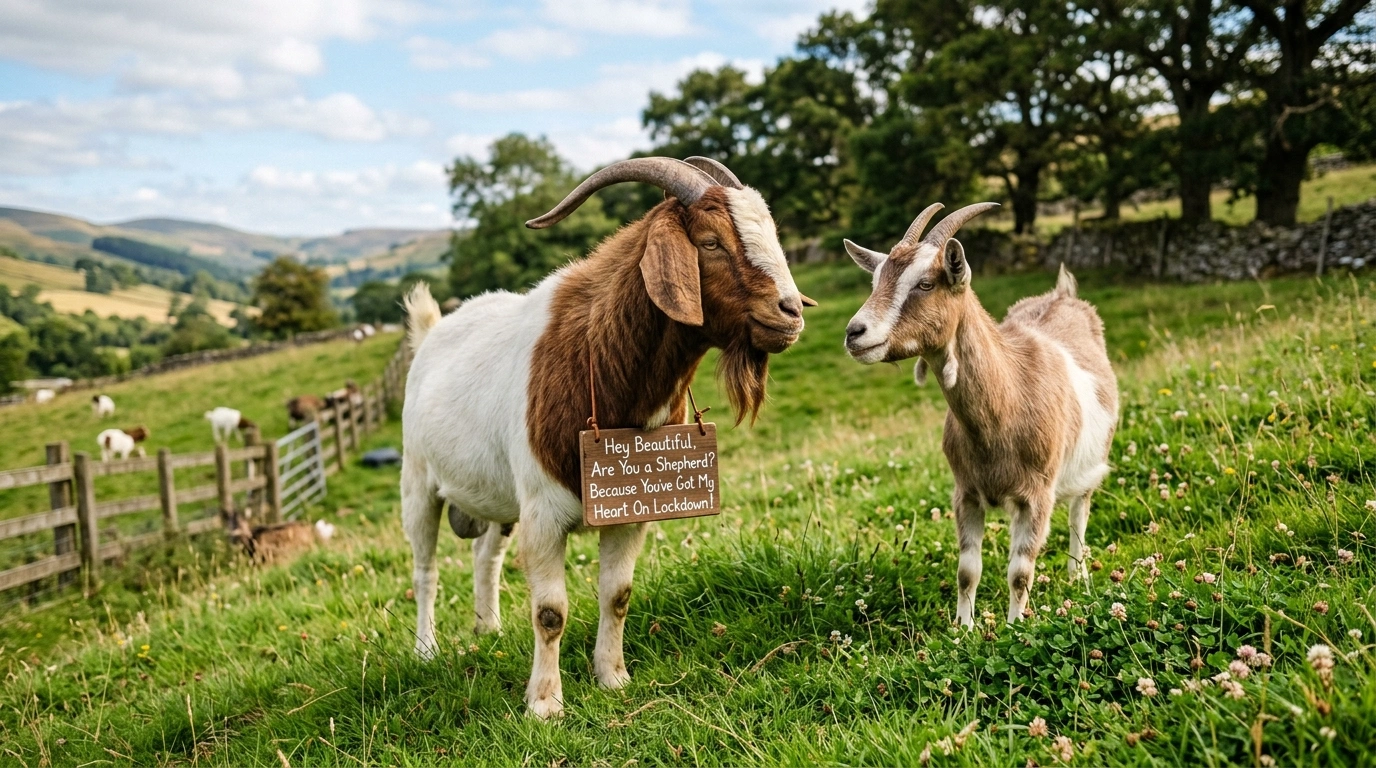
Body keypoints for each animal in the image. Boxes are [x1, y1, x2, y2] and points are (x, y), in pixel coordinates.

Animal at [401, 156, 811, 718]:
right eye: (710, 242)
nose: (791, 313)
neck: (601, 357)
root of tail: (430, 334)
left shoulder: (630, 510)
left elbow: (617, 594)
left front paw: (613, 678)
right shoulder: (542, 513)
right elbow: (550, 611)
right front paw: (545, 704)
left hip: (498, 500)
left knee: (485, 556)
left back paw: (489, 630)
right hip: (418, 483)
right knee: (425, 570)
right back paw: (426, 650)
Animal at [843, 203, 1118, 626]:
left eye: (926, 283)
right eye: (875, 281)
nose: (855, 333)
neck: (1007, 401)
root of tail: (1063, 294)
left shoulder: (1037, 495)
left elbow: (1020, 572)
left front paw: (1014, 626)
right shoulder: (967, 492)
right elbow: (967, 570)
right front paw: (963, 627)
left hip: (1091, 465)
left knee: (1078, 517)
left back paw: (1078, 575)